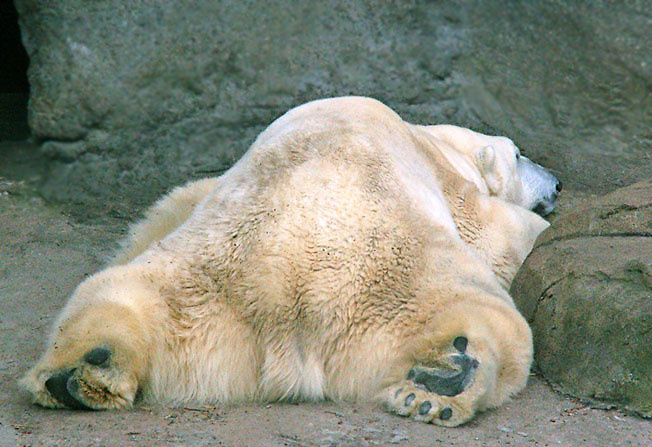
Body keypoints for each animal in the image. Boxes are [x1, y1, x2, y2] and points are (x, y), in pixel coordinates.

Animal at [20, 96, 561, 426]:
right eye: (520, 154)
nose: (557, 182)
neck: (430, 137)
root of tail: (282, 301)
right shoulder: (450, 185)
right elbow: (498, 232)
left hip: (198, 297)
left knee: (113, 296)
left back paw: (83, 371)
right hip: (402, 274)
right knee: (494, 320)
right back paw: (442, 384)